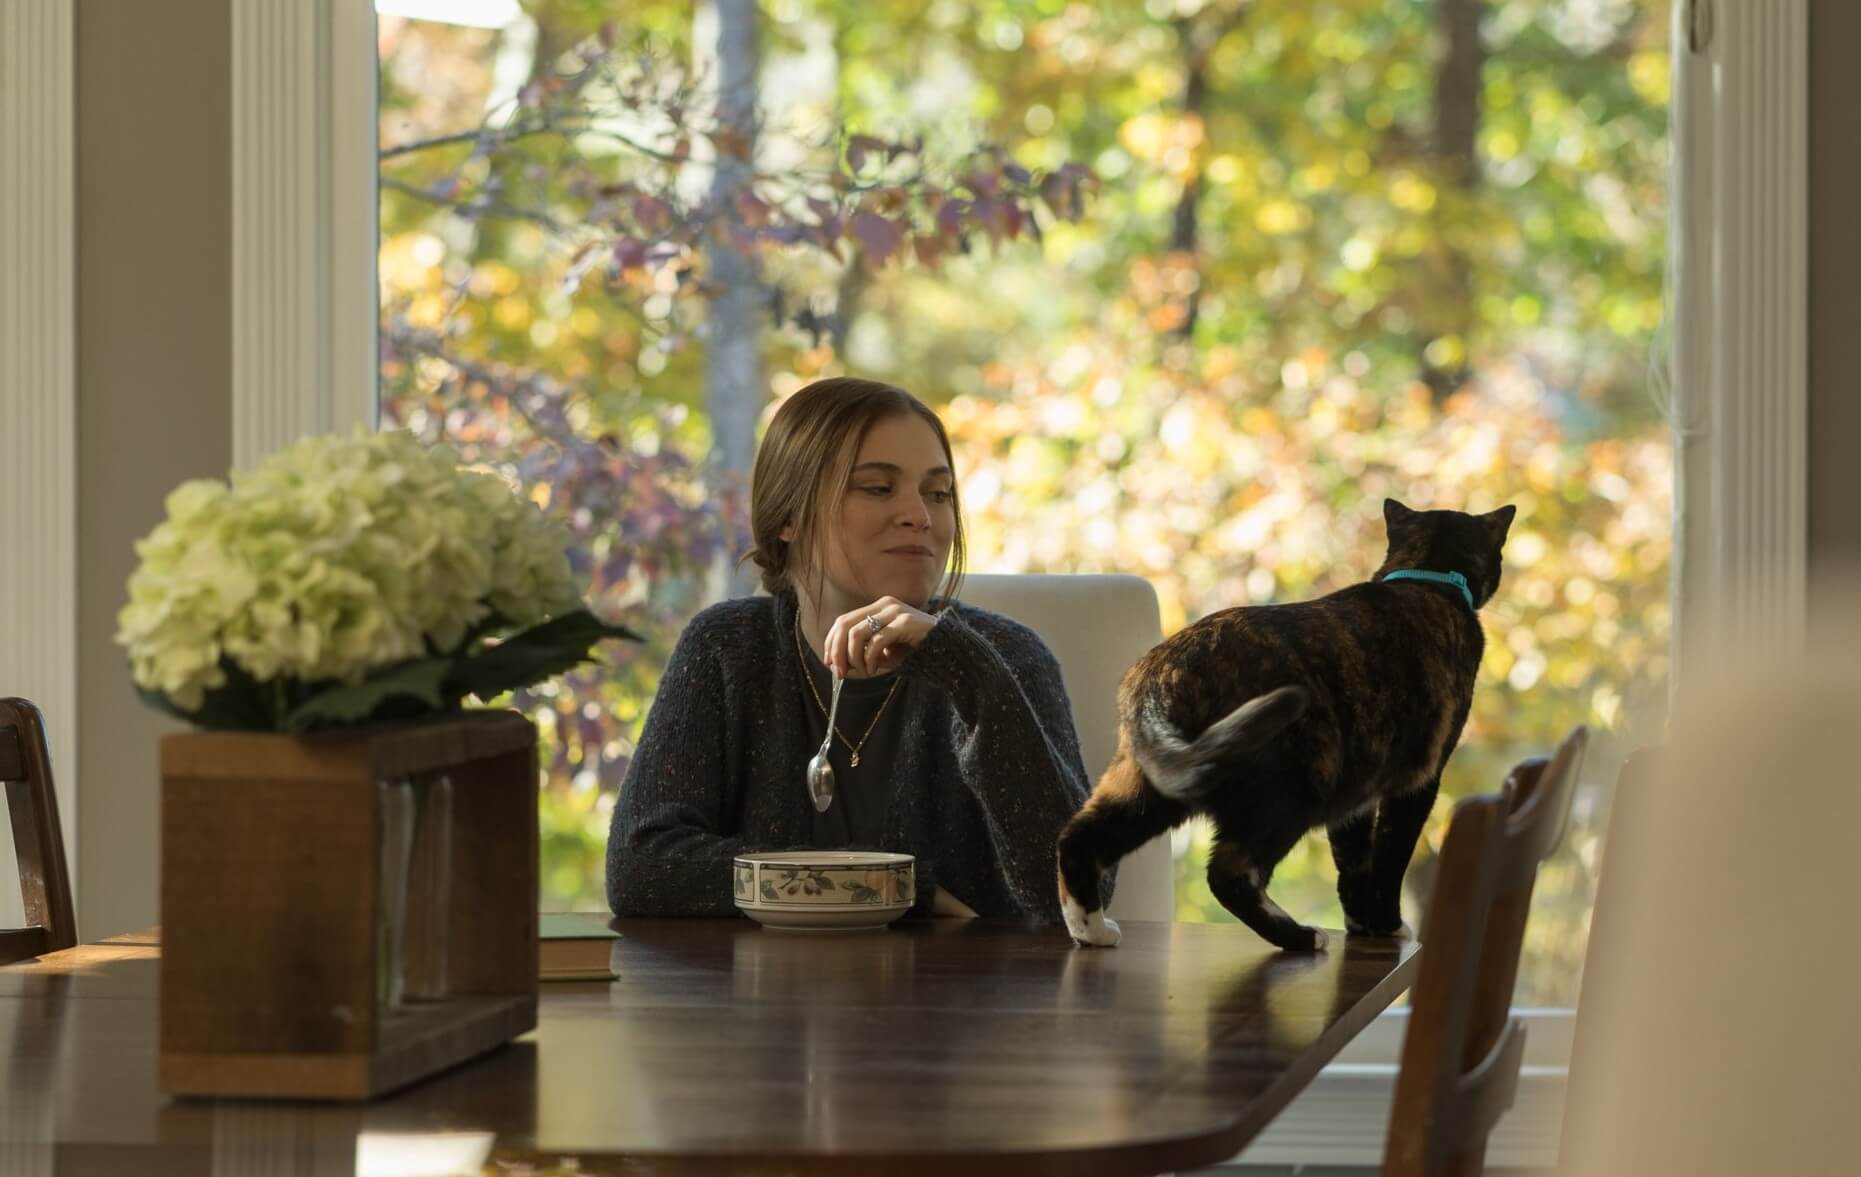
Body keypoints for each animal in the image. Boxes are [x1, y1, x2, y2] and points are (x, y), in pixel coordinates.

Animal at [1057, 498, 1516, 951]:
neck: (1427, 578)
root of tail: (1162, 669)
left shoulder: (1359, 788)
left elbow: (1352, 860)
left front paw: (1361, 924)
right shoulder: (1417, 779)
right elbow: (1389, 858)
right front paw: (1387, 925)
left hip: (1150, 788)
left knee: (1079, 839)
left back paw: (1092, 931)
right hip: (1296, 790)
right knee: (1228, 874)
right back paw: (1300, 936)